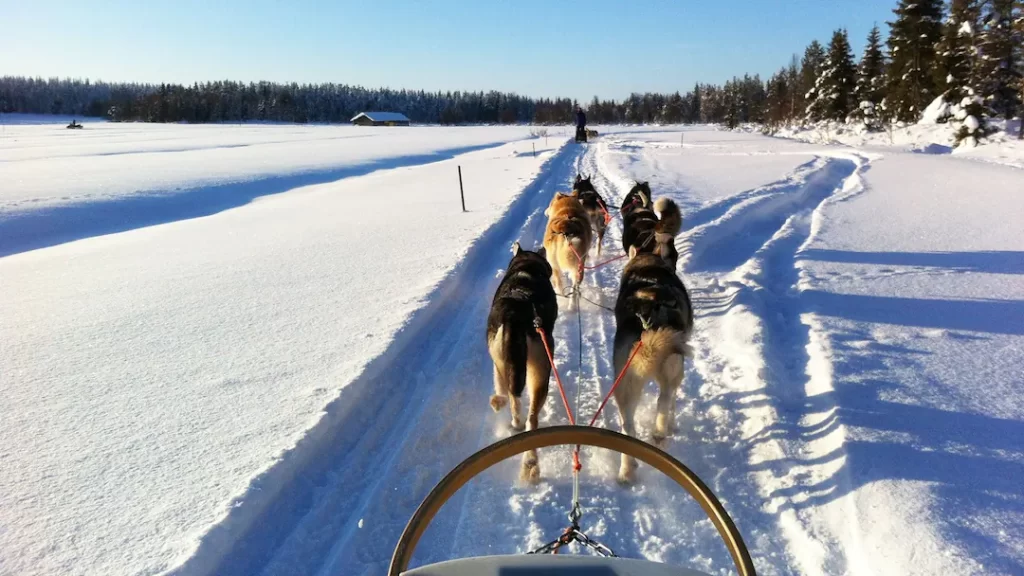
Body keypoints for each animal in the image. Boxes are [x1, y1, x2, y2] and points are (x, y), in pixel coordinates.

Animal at [485, 239, 557, 481]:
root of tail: (515, 313)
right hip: (540, 366)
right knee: (529, 416)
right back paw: (530, 462)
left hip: (523, 364)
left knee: (515, 400)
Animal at [614, 243, 696, 481]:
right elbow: (673, 402)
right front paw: (672, 425)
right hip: (672, 369)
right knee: (664, 399)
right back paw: (660, 433)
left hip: (625, 386)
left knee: (627, 427)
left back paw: (627, 471)